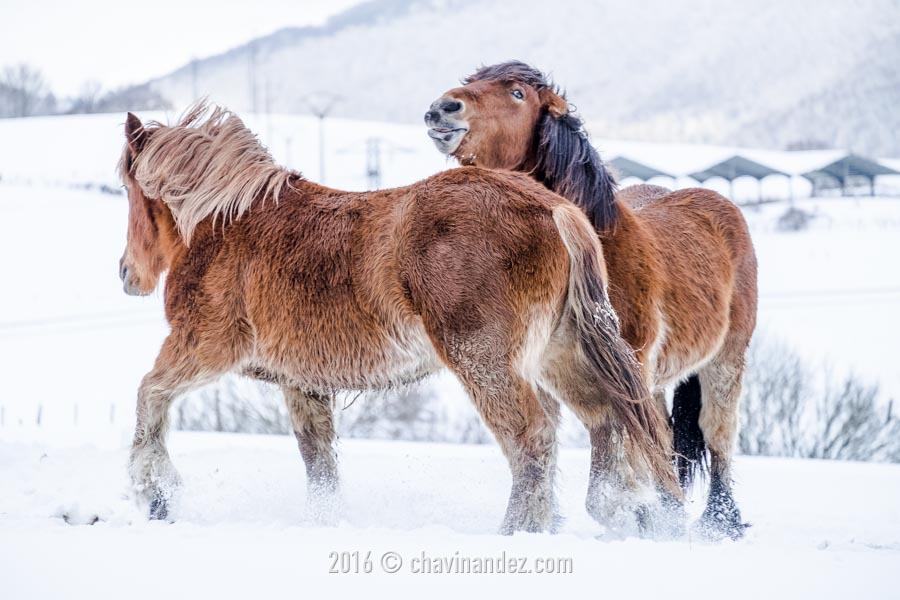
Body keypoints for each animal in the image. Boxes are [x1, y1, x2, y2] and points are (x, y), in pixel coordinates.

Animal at [114, 102, 676, 536]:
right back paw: (617, 512)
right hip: (558, 357)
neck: (225, 225)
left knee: (532, 438)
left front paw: (154, 494)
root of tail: (554, 209)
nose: (126, 273)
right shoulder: (302, 382)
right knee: (606, 420)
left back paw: (519, 531)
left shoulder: (204, 346)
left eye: (129, 188)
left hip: (487, 364)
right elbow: (318, 462)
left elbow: (148, 395)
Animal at [428, 62, 760, 540]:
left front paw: (639, 518)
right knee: (663, 438)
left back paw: (720, 522)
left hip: (725, 360)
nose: (443, 108)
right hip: (655, 380)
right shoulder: (541, 370)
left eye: (517, 93)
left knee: (717, 435)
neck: (597, 244)